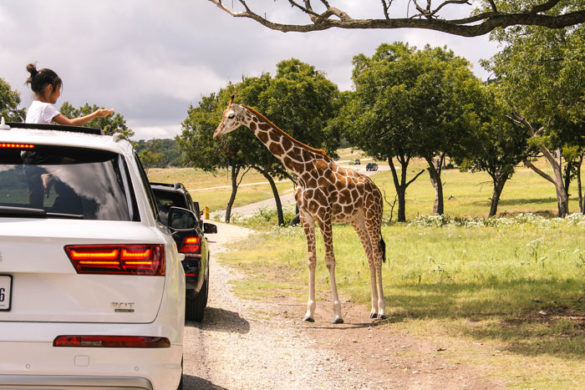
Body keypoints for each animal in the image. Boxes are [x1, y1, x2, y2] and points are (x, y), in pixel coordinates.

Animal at [212, 97, 386, 322]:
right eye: (222, 115)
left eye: (231, 116)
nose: (216, 133)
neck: (301, 170)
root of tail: (377, 190)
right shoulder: (306, 217)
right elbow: (311, 260)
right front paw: (309, 312)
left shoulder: (323, 215)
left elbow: (330, 260)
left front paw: (337, 314)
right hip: (357, 220)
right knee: (370, 254)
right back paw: (373, 310)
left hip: (373, 216)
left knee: (377, 254)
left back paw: (382, 310)